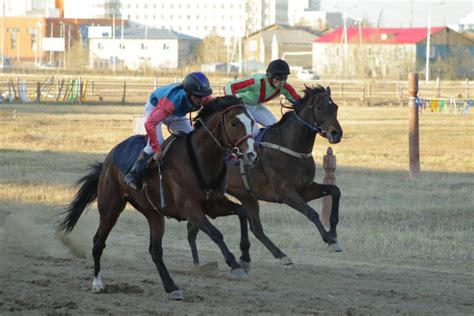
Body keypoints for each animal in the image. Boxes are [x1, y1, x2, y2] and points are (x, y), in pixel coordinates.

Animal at [59, 95, 260, 300]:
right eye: (234, 123)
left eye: (252, 121)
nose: (252, 154)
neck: (200, 159)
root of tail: (108, 159)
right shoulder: (191, 209)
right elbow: (216, 233)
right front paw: (235, 265)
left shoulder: (213, 205)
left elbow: (242, 212)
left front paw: (245, 258)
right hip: (111, 208)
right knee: (98, 242)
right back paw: (97, 283)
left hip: (153, 214)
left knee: (155, 251)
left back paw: (171, 287)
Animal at [186, 85, 344, 270]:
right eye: (319, 108)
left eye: (335, 107)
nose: (336, 133)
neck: (291, 148)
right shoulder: (285, 193)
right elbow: (311, 213)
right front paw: (330, 240)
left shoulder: (305, 189)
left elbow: (335, 191)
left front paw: (333, 232)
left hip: (245, 196)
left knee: (253, 228)